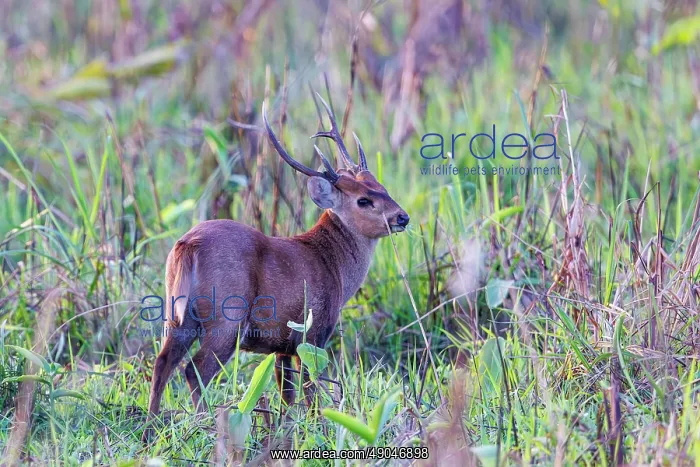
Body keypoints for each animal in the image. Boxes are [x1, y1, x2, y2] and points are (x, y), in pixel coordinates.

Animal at [142, 96, 409, 441]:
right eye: (364, 200)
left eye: (382, 186)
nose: (402, 217)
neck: (332, 264)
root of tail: (188, 245)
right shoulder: (313, 331)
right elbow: (310, 389)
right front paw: (318, 428)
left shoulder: (281, 343)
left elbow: (287, 393)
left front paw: (285, 429)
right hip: (226, 315)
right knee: (195, 368)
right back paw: (205, 426)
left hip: (176, 313)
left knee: (163, 361)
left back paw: (150, 427)